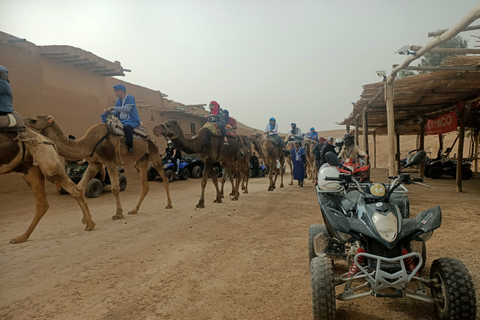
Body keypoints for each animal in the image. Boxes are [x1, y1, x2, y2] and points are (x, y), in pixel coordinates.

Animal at [25, 114, 172, 221]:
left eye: (34, 120)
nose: (24, 123)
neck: (89, 143)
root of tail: (149, 137)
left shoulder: (110, 162)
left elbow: (115, 189)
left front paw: (118, 214)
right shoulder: (94, 164)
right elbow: (80, 187)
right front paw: (86, 219)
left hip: (154, 152)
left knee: (164, 176)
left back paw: (169, 204)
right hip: (140, 161)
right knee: (145, 185)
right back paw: (134, 210)